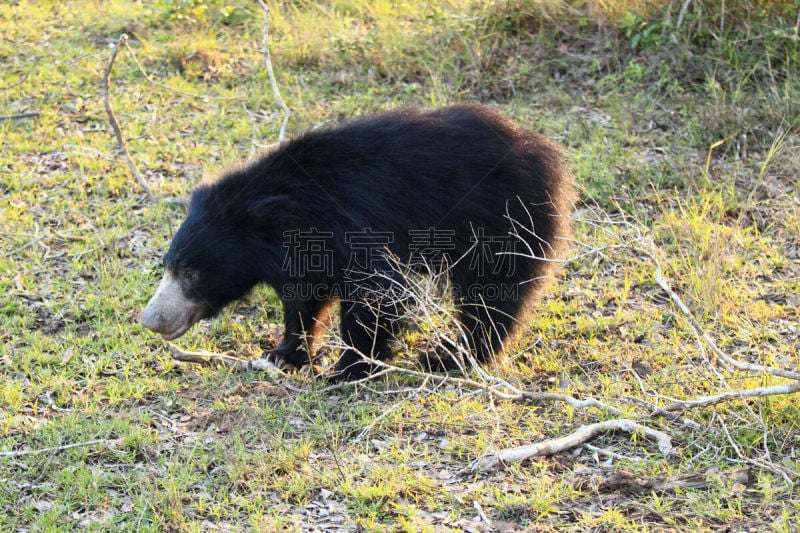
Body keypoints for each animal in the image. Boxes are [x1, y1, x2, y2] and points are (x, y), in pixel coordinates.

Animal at [138, 103, 576, 378]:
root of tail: (545, 150)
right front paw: (284, 354)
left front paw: (348, 369)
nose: (150, 320)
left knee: (493, 294)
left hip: (503, 220)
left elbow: (377, 294)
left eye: (191, 273)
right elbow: (304, 298)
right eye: (167, 266)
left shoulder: (354, 224)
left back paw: (451, 356)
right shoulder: (302, 253)